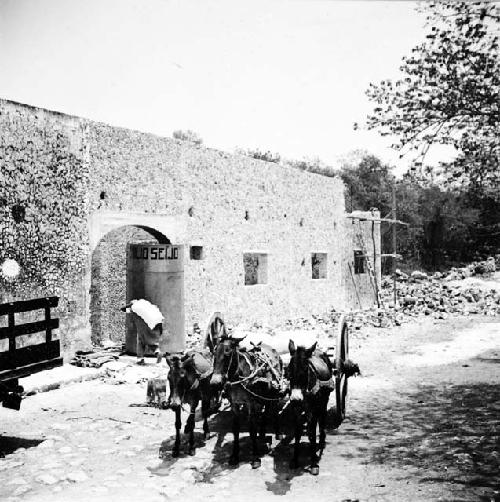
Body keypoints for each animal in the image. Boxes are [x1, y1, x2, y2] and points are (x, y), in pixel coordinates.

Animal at [209, 336, 284, 468]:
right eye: (214, 353)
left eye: (228, 352)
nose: (215, 382)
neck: (239, 375)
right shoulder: (235, 404)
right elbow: (235, 429)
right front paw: (234, 456)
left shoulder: (251, 404)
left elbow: (252, 429)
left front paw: (255, 458)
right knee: (265, 412)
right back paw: (262, 433)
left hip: (274, 391)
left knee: (273, 409)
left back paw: (278, 433)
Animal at [286, 340, 336, 476]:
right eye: (288, 370)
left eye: (305, 370)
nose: (296, 398)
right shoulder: (296, 410)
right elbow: (297, 432)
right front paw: (294, 459)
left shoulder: (313, 410)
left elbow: (313, 433)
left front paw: (314, 463)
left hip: (323, 402)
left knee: (322, 419)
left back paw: (322, 441)